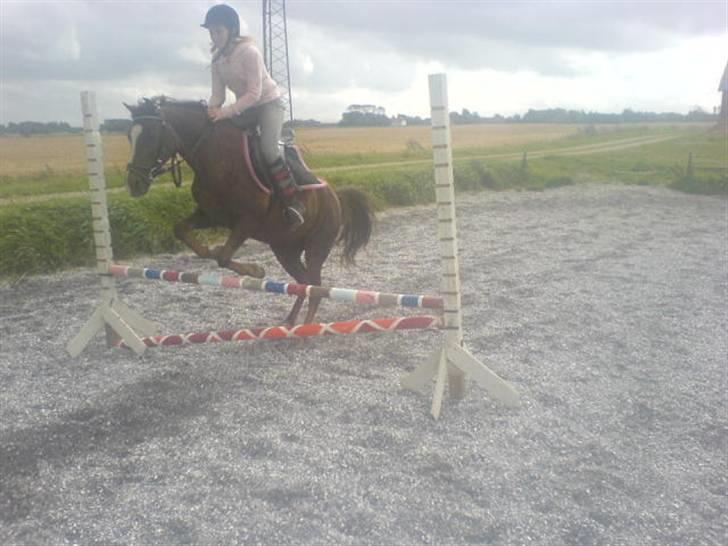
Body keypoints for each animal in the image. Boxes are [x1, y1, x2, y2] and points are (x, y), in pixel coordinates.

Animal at [123, 98, 374, 326]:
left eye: (150, 136)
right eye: (129, 137)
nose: (134, 183)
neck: (214, 156)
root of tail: (335, 196)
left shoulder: (248, 221)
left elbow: (224, 257)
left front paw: (255, 270)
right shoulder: (211, 215)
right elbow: (184, 232)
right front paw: (211, 250)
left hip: (317, 246)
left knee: (315, 285)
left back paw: (306, 327)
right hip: (285, 249)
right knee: (303, 282)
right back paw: (290, 321)